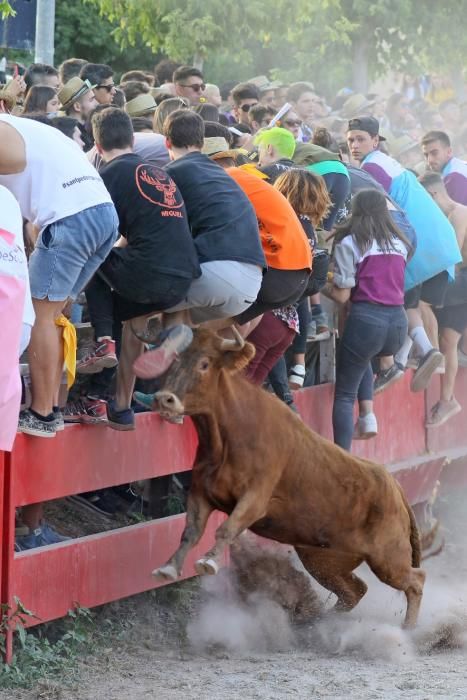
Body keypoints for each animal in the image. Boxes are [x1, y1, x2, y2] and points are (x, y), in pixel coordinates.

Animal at [148, 328, 426, 628]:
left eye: (204, 364)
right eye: (174, 361)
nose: (164, 398)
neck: (227, 435)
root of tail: (395, 486)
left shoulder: (255, 499)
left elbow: (226, 528)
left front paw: (208, 562)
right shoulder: (201, 494)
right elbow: (190, 532)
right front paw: (168, 567)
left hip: (388, 559)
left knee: (415, 581)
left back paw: (408, 630)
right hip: (322, 557)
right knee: (354, 590)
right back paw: (321, 625)